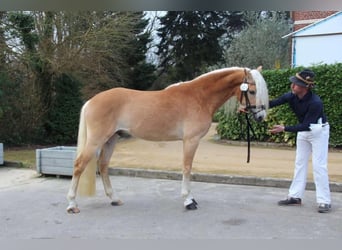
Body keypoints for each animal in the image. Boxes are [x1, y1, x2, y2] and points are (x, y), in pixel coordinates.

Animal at [67, 66, 268, 213]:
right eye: (251, 91)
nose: (260, 117)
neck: (200, 97)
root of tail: (91, 101)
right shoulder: (191, 140)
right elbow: (187, 168)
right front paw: (188, 200)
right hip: (97, 140)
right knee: (79, 165)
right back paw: (72, 205)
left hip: (111, 139)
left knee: (103, 166)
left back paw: (115, 199)